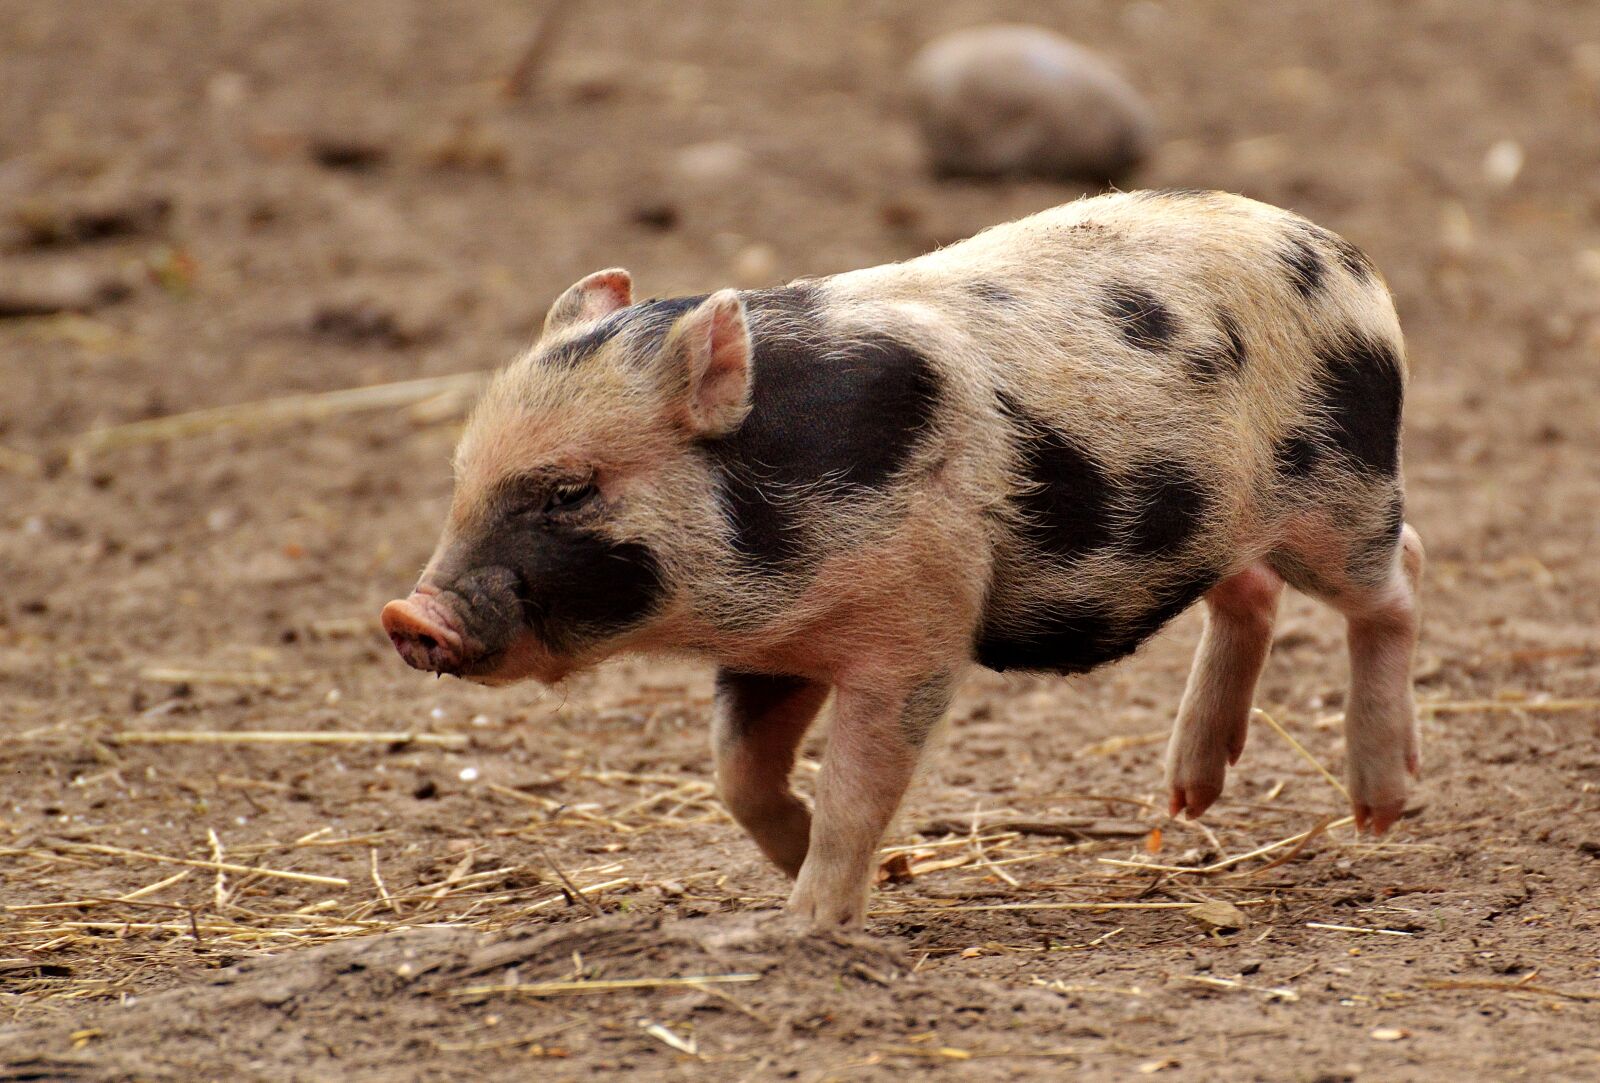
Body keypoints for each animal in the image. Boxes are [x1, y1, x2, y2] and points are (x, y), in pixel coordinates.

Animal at [382, 189, 1424, 928]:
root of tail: (1351, 262)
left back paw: (1379, 811)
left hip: (1343, 493)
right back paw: (1188, 795)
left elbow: (858, 783)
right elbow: (737, 772)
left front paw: (806, 925)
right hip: (1219, 522)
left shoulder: (916, 634)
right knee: (1250, 590)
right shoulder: (774, 645)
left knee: (1400, 576)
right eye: (461, 477)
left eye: (572, 489)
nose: (407, 616)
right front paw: (883, 871)